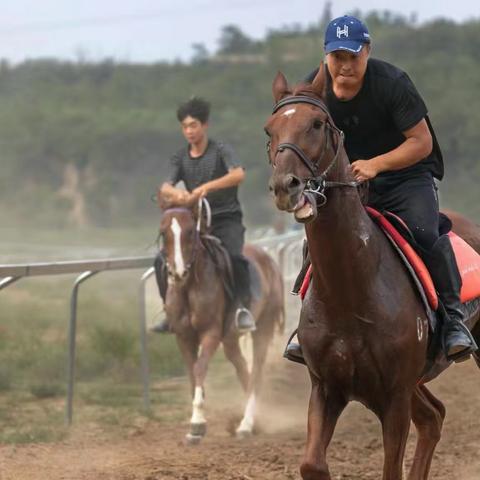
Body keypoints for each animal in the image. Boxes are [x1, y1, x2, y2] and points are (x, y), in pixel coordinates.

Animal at [158, 198, 284, 442]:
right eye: (163, 232)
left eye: (190, 231)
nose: (178, 272)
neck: (190, 287)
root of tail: (269, 262)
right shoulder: (183, 337)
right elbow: (192, 372)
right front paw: (196, 423)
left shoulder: (211, 333)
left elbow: (199, 368)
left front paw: (197, 423)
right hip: (231, 338)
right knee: (241, 365)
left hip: (262, 329)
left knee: (256, 373)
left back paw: (246, 424)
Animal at [264, 67, 480, 480]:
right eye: (270, 130)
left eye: (317, 123)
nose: (286, 186)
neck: (351, 290)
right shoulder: (326, 388)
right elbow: (312, 464)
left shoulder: (393, 396)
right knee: (433, 417)